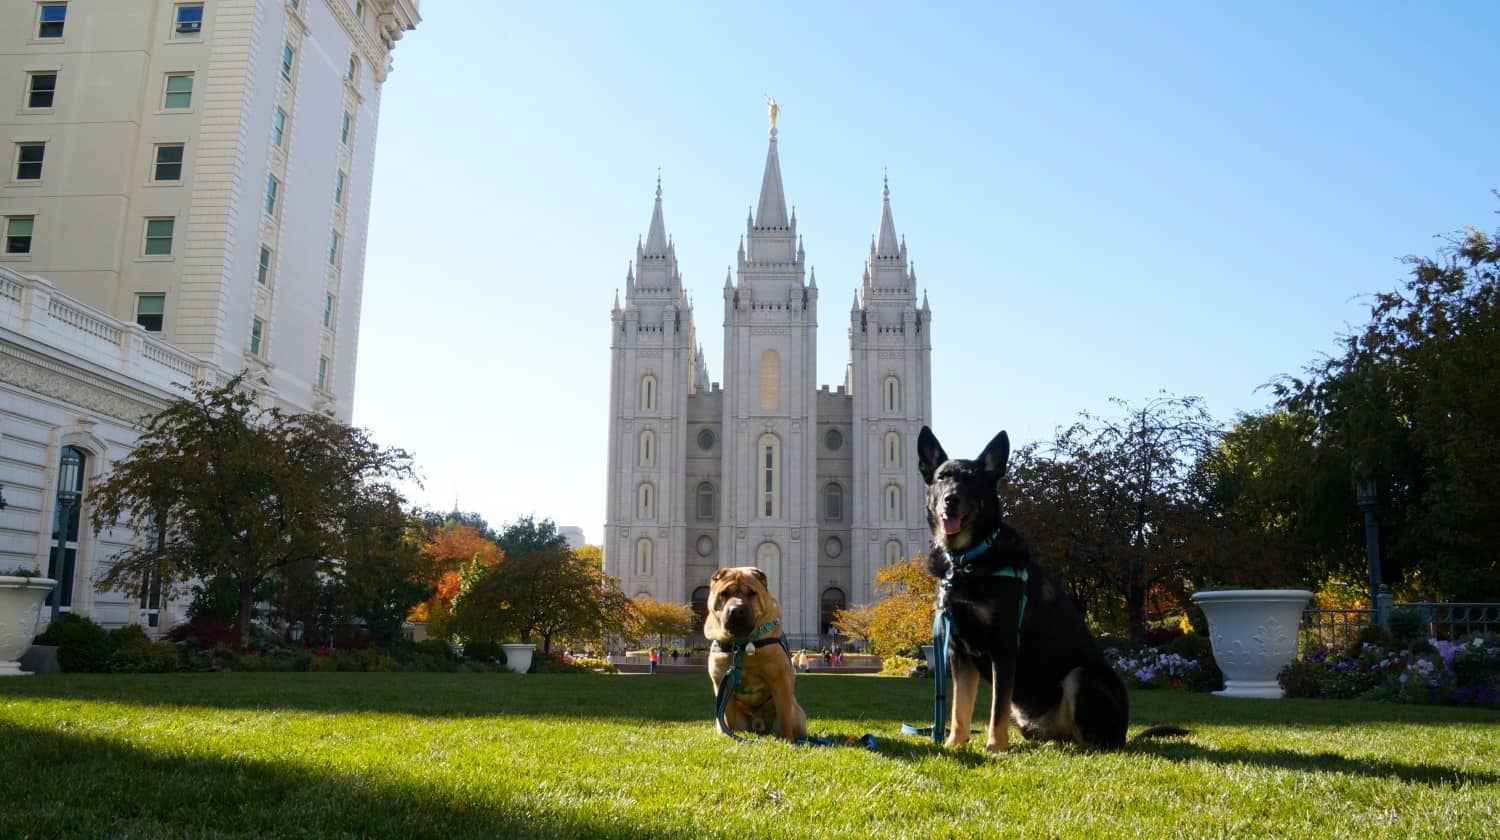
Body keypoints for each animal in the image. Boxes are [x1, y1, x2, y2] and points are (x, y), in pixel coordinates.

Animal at [705, 564, 810, 741]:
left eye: (751, 593)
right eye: (724, 594)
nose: (736, 610)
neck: (741, 645)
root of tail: (758, 723)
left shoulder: (779, 680)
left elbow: (785, 717)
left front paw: (788, 740)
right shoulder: (722, 684)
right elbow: (729, 718)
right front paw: (730, 736)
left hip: (797, 714)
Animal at [918, 426, 1176, 756]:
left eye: (972, 481)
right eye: (942, 477)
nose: (950, 499)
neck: (967, 562)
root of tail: (1124, 734)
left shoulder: (1003, 647)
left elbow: (996, 709)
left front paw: (994, 747)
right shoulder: (959, 652)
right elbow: (959, 710)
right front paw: (954, 744)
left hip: (1082, 677)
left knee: (1095, 742)